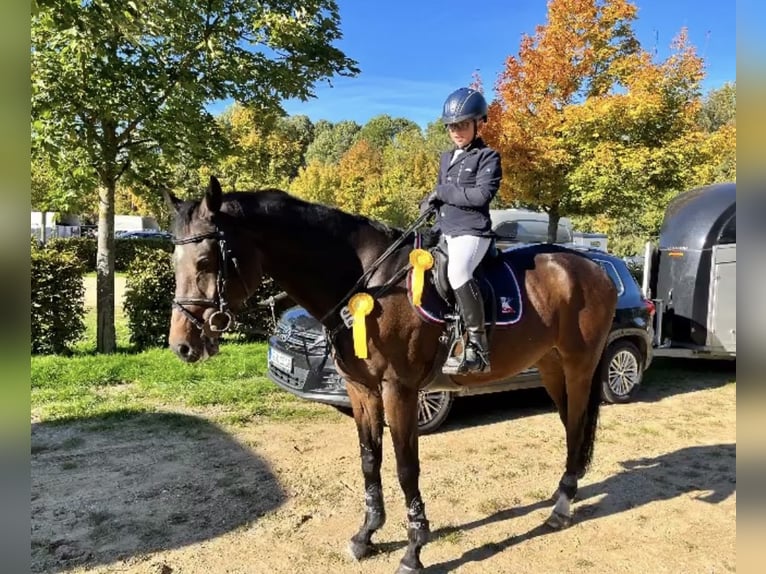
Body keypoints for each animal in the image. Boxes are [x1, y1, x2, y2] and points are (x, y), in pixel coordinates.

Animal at [166, 176, 617, 574]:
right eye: (174, 262)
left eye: (206, 261)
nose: (182, 346)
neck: (370, 282)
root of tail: (598, 269)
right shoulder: (361, 389)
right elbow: (370, 459)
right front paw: (366, 535)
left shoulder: (399, 390)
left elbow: (405, 467)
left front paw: (414, 549)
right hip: (551, 366)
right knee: (570, 425)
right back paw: (563, 494)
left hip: (579, 366)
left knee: (577, 425)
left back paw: (561, 507)